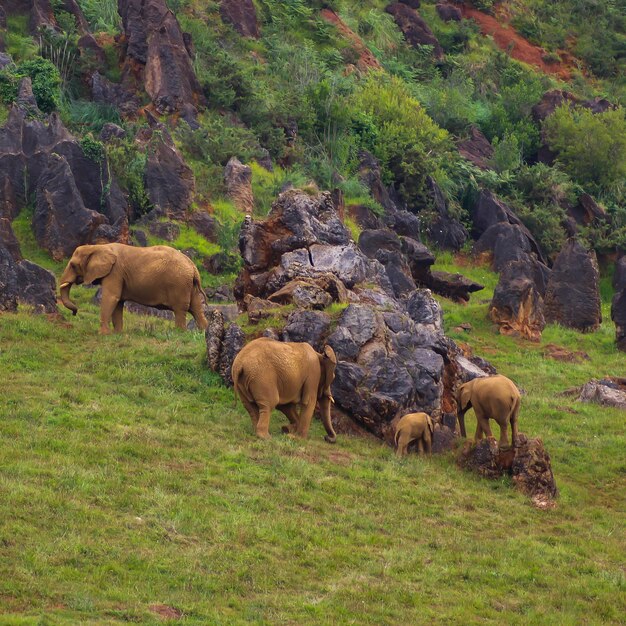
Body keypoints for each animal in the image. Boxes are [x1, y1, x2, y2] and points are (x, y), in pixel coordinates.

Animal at [58, 243, 207, 334]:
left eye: (73, 265)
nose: (75, 313)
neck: (98, 246)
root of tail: (193, 267)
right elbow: (118, 302)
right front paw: (117, 334)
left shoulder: (115, 272)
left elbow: (111, 297)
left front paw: (102, 334)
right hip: (189, 286)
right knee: (196, 309)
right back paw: (204, 331)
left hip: (179, 284)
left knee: (180, 309)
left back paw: (179, 332)